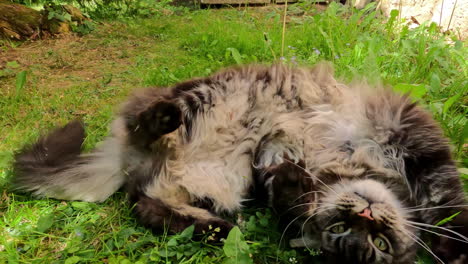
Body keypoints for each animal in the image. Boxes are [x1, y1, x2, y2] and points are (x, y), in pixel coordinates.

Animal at [12, 63, 466, 262]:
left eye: (377, 244)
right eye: (342, 228)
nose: (366, 216)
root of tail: (127, 160)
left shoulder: (268, 167)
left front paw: (295, 192)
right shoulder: (411, 136)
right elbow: (450, 202)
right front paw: (455, 248)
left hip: (214, 183)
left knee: (148, 206)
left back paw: (222, 229)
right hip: (205, 95)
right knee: (144, 124)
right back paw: (162, 120)